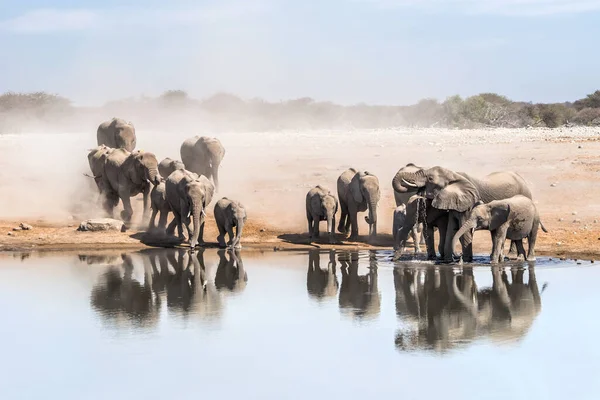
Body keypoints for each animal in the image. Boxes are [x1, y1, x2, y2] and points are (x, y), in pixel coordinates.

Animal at [396, 166, 532, 262]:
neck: (454, 176)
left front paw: (465, 260)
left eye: (430, 179)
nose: (394, 259)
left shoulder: (468, 204)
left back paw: (511, 255)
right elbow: (449, 229)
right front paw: (445, 260)